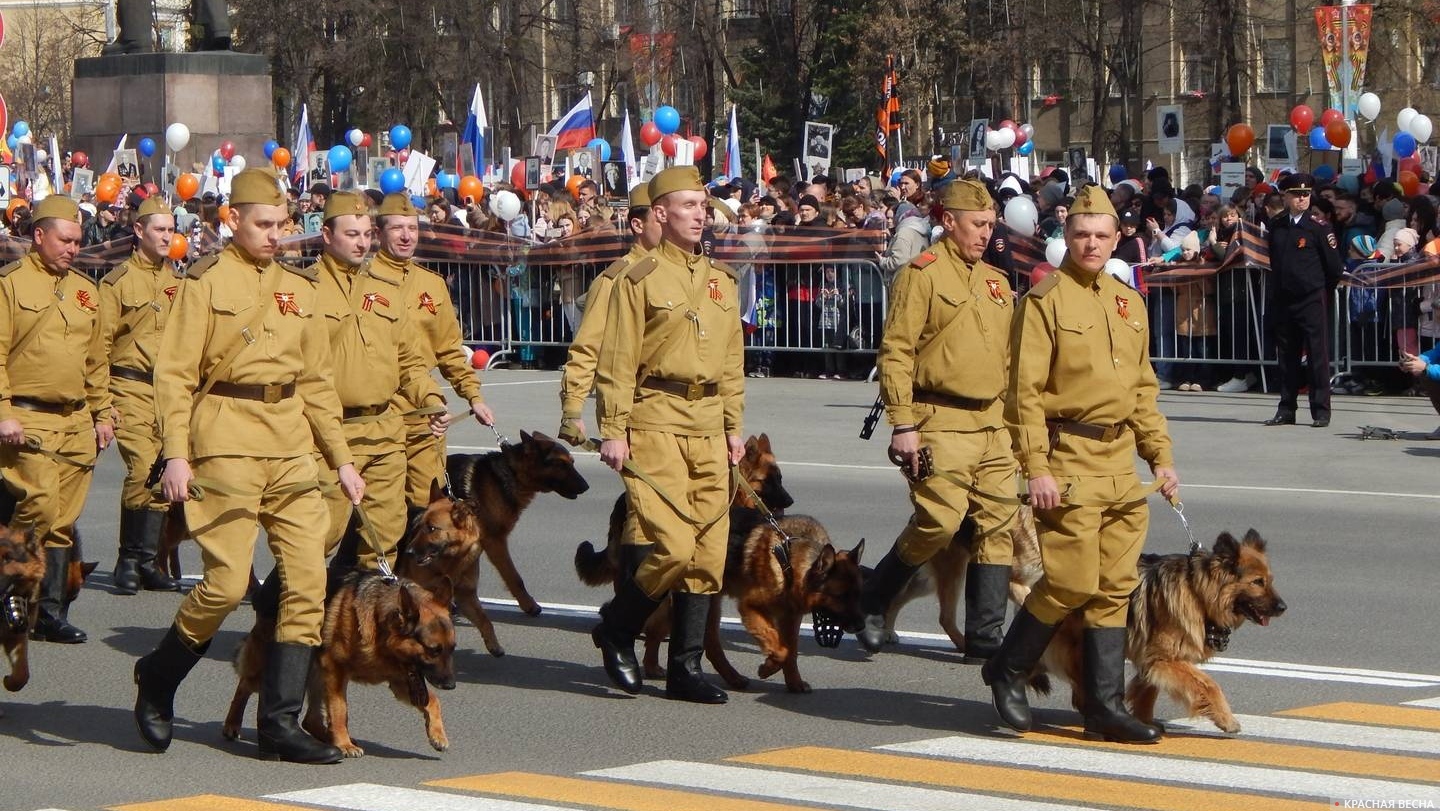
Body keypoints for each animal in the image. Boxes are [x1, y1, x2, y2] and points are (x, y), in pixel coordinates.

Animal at [302, 573, 455, 760]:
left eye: (452, 648)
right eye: (433, 650)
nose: (451, 685)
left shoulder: (401, 683)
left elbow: (433, 700)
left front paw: (438, 735)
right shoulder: (334, 670)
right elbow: (339, 710)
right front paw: (344, 744)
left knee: (310, 720)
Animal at [1042, 530, 1290, 731]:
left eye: (1270, 580)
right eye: (1257, 582)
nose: (1283, 607)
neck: (1197, 593)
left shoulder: (1153, 660)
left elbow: (1148, 690)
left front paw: (1144, 721)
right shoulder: (1165, 658)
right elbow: (1208, 684)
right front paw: (1226, 719)